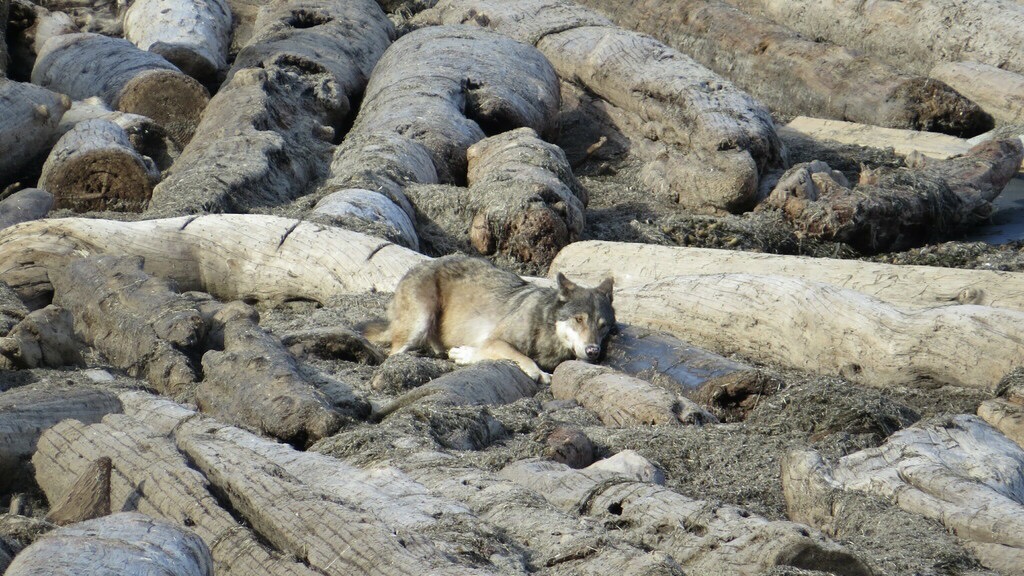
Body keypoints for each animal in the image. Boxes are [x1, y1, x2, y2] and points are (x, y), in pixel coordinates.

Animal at [366, 254, 614, 381]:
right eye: (579, 319)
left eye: (603, 327)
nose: (593, 351)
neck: (546, 329)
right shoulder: (495, 340)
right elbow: (526, 361)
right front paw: (539, 373)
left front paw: (464, 354)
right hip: (420, 321)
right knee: (392, 354)